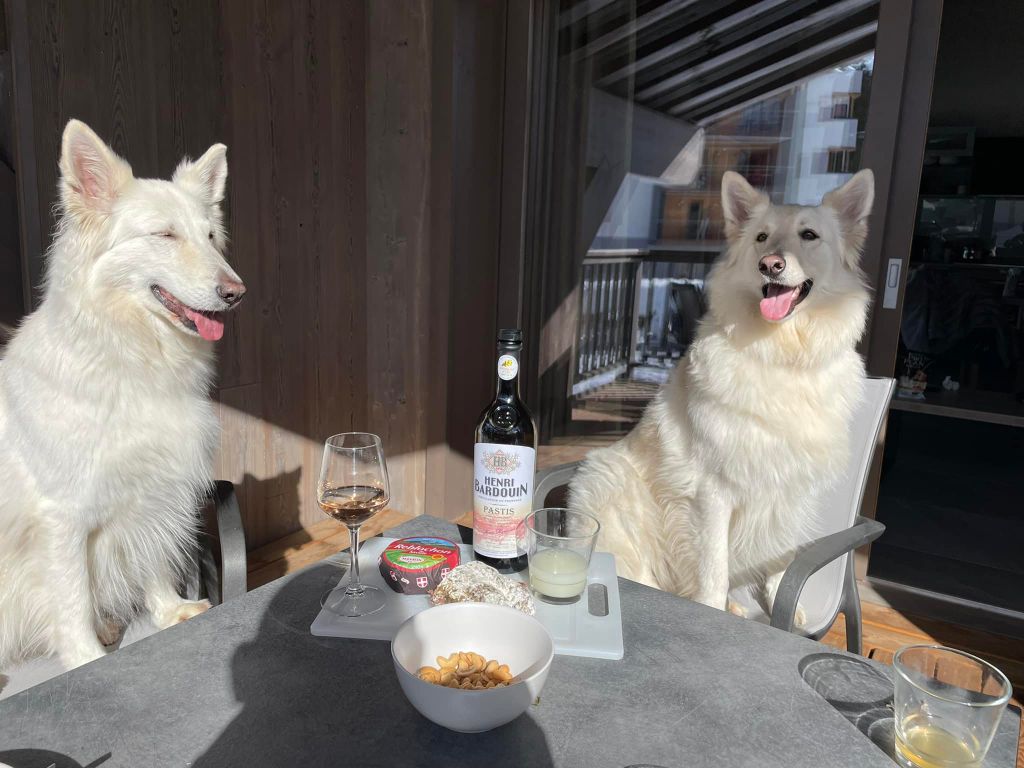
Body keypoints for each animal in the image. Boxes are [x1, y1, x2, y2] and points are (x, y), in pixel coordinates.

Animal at [0, 120, 244, 672]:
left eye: (211, 237)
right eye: (164, 235)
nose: (236, 292)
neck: (128, 357)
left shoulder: (154, 485)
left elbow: (148, 552)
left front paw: (169, 611)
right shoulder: (62, 516)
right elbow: (71, 599)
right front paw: (86, 659)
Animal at [569, 169, 874, 623]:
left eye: (809, 235)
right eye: (762, 237)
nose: (770, 265)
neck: (782, 355)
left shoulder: (791, 487)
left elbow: (779, 558)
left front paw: (780, 603)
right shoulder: (712, 492)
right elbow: (713, 570)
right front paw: (712, 609)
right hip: (606, 478)